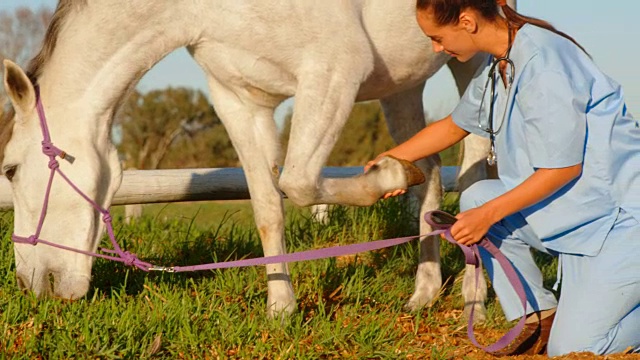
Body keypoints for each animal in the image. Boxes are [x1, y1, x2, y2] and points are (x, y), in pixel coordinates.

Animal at [0, 0, 510, 320]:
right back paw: (423, 294)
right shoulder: (241, 101)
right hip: (403, 82)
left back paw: (474, 300)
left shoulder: (334, 73)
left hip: (471, 63)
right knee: (432, 178)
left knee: (474, 169)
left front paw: (387, 172)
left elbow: (299, 182)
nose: (31, 284)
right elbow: (268, 206)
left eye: (10, 169)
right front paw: (281, 310)